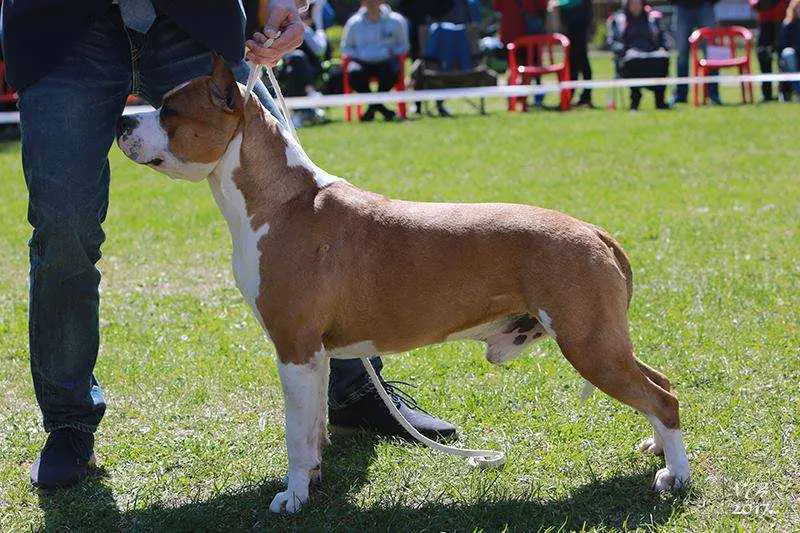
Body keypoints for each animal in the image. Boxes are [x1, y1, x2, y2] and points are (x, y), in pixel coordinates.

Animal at [115, 56, 692, 512]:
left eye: (170, 111)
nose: (121, 119)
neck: (279, 201)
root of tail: (594, 231)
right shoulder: (315, 355)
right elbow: (313, 427)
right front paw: (315, 481)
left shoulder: (294, 348)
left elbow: (295, 437)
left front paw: (293, 497)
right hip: (601, 339)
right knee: (659, 383)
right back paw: (657, 451)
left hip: (588, 342)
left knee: (663, 398)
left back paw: (677, 476)